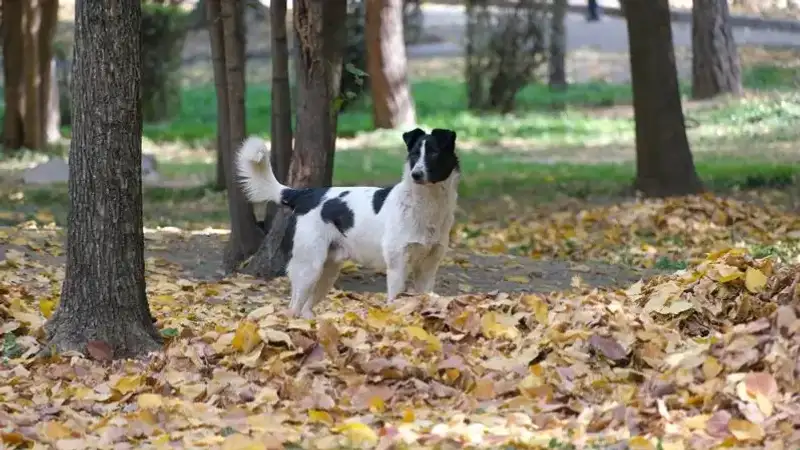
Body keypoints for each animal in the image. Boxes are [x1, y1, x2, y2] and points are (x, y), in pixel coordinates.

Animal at [234, 126, 460, 318]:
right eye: (414, 154)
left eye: (433, 153)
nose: (416, 174)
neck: (427, 205)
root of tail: (305, 194)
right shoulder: (397, 267)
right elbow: (395, 301)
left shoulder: (428, 269)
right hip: (308, 267)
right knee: (293, 308)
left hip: (328, 270)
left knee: (306, 308)